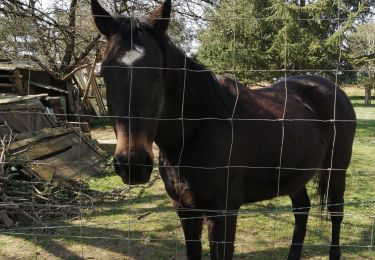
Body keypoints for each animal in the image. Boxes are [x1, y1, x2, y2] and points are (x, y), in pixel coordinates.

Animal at [90, 1, 356, 258]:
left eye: (157, 72)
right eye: (104, 73)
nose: (132, 163)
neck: (196, 131)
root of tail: (332, 89)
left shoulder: (222, 214)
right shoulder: (186, 210)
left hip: (336, 171)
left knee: (336, 213)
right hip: (294, 175)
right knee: (301, 210)